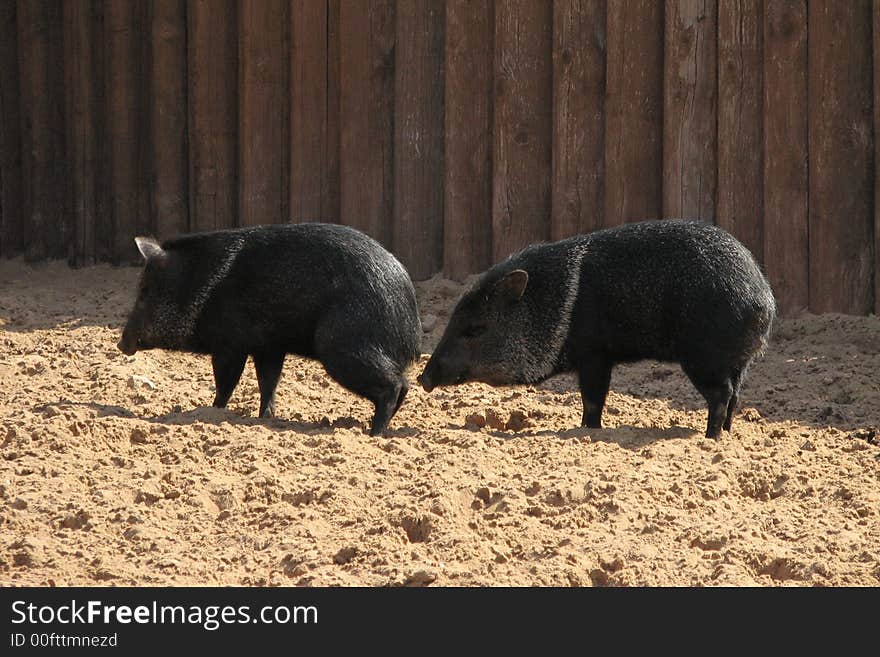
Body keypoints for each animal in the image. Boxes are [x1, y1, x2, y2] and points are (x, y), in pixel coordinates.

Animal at [118, 223, 422, 434]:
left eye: (144, 293)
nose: (121, 344)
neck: (201, 286)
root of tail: (411, 329)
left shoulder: (230, 346)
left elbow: (226, 383)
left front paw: (211, 412)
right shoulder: (269, 347)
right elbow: (268, 383)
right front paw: (266, 419)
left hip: (342, 348)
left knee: (393, 386)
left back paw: (374, 434)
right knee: (404, 385)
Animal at [422, 218, 776, 438]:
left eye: (474, 329)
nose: (424, 380)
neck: (560, 302)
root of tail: (763, 302)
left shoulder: (594, 356)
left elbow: (593, 401)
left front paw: (586, 430)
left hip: (702, 357)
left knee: (722, 394)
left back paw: (709, 438)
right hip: (735, 362)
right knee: (735, 395)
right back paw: (726, 433)